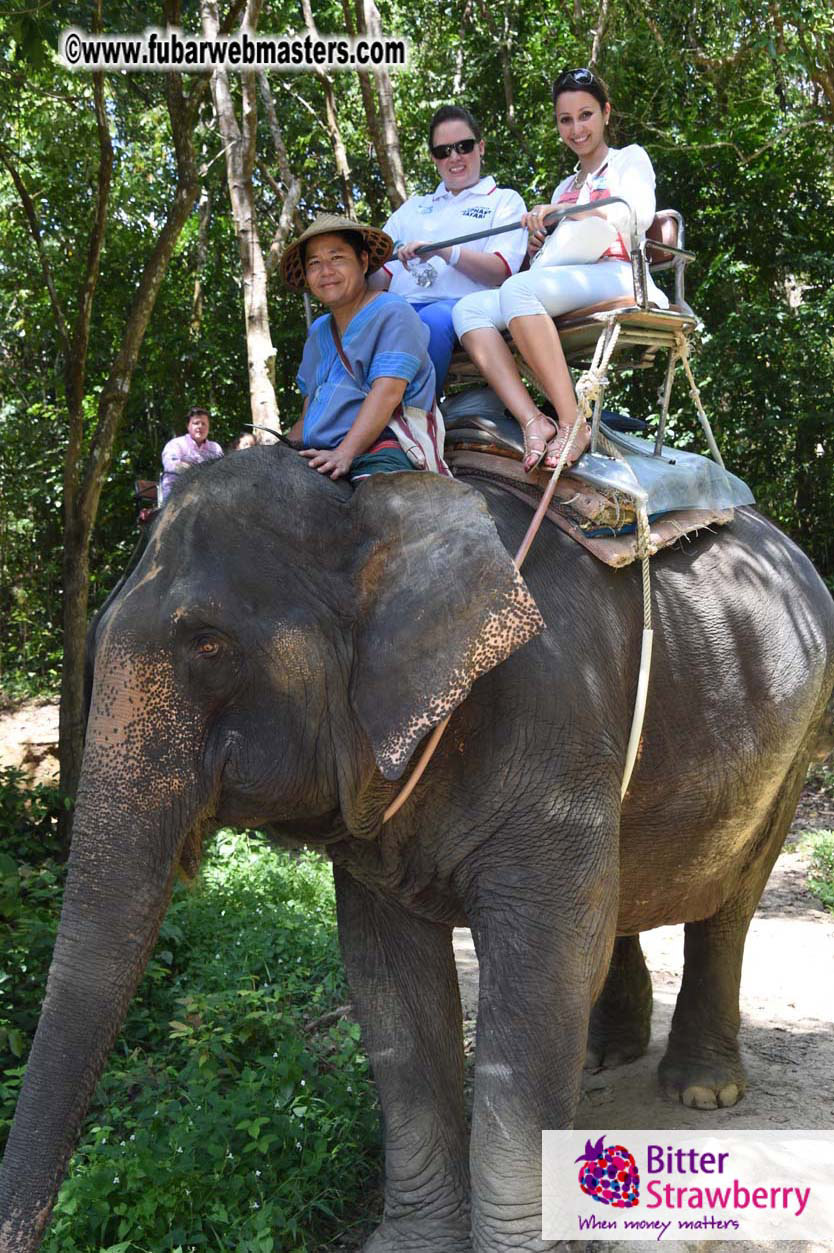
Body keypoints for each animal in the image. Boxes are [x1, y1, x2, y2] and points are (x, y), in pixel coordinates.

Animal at [2, 444, 833, 1253]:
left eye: (208, 644)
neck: (375, 508)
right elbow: (389, 976)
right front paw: (413, 1242)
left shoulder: (555, 727)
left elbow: (545, 962)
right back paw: (603, 1056)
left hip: (795, 743)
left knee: (732, 903)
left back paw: (702, 1088)